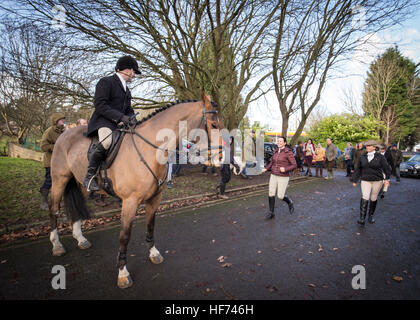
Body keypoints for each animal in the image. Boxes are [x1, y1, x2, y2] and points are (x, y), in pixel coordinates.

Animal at [48, 92, 221, 288]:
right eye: (214, 125)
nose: (220, 156)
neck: (150, 149)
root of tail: (64, 133)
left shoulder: (155, 198)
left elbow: (150, 226)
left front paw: (153, 253)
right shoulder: (129, 202)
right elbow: (124, 236)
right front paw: (123, 273)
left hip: (81, 184)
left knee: (78, 207)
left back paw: (80, 239)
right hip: (59, 179)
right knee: (54, 208)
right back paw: (57, 245)